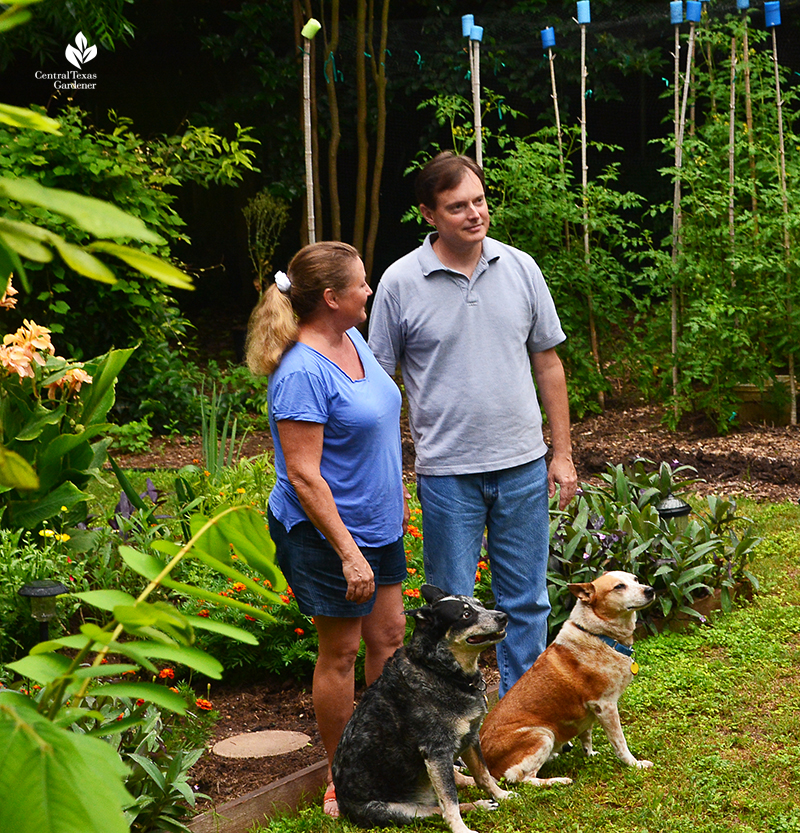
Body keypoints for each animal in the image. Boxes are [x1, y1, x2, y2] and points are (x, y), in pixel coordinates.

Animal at [332, 584, 512, 832]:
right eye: (466, 614)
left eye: (481, 605)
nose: (503, 616)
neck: (440, 671)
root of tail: (344, 808)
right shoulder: (437, 751)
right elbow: (450, 802)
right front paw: (461, 829)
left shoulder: (470, 737)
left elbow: (482, 774)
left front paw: (501, 794)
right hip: (399, 809)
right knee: (437, 808)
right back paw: (477, 805)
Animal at [478, 568, 652, 784]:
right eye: (619, 586)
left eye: (635, 579)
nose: (650, 590)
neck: (598, 635)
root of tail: (488, 767)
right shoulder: (606, 706)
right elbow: (620, 743)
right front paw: (635, 764)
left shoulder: (590, 710)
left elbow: (586, 735)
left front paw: (590, 754)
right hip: (543, 735)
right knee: (522, 778)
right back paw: (559, 781)